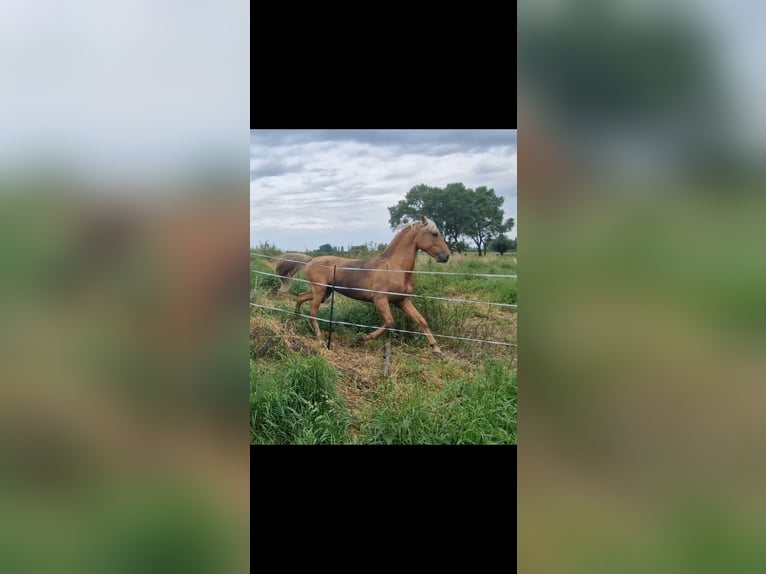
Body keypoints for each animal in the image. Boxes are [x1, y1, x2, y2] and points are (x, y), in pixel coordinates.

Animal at [292, 217, 452, 356]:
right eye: (434, 233)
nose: (446, 256)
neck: (395, 268)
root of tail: (311, 260)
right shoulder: (380, 300)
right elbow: (390, 321)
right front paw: (362, 338)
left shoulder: (403, 301)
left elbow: (422, 321)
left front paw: (437, 351)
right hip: (319, 291)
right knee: (312, 312)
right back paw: (320, 339)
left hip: (325, 292)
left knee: (300, 297)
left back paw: (296, 317)